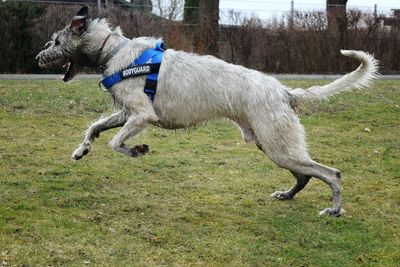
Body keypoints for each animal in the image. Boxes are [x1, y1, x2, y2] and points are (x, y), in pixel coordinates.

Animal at [35, 5, 378, 218]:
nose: (38, 57)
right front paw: (82, 150)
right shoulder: (127, 114)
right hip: (273, 146)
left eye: (55, 40)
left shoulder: (143, 116)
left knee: (330, 173)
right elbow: (95, 128)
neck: (114, 51)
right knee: (305, 175)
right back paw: (287, 195)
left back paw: (334, 210)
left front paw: (136, 150)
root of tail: (284, 91)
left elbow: (115, 142)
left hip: (279, 146)